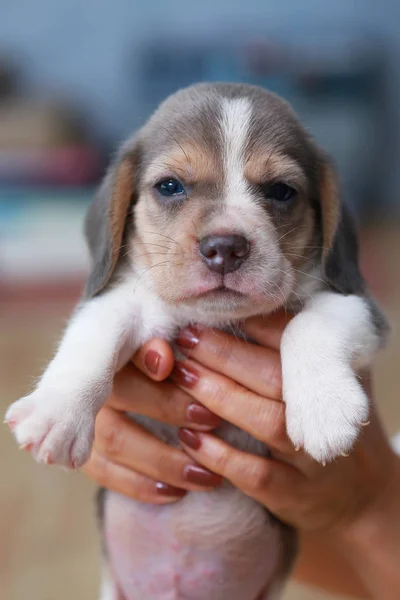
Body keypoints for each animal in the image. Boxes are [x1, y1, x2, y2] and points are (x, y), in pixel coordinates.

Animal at [5, 84, 388, 600]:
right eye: (170, 187)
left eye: (281, 191)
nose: (225, 247)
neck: (216, 321)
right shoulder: (127, 303)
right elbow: (94, 336)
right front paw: (56, 414)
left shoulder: (360, 306)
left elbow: (308, 324)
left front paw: (324, 409)